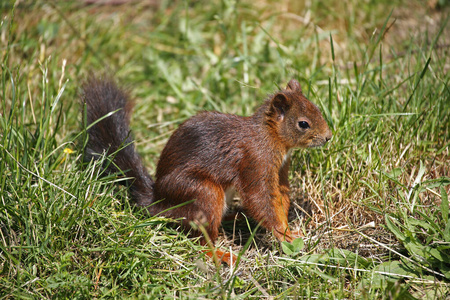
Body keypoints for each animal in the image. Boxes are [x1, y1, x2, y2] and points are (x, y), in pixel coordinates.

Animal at [82, 77, 332, 264]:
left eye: (318, 109)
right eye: (303, 124)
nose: (329, 137)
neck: (272, 137)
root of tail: (157, 203)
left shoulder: (280, 170)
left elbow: (280, 198)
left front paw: (291, 231)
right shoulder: (255, 160)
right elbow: (260, 199)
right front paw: (284, 235)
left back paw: (236, 216)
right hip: (203, 192)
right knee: (200, 241)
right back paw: (221, 254)